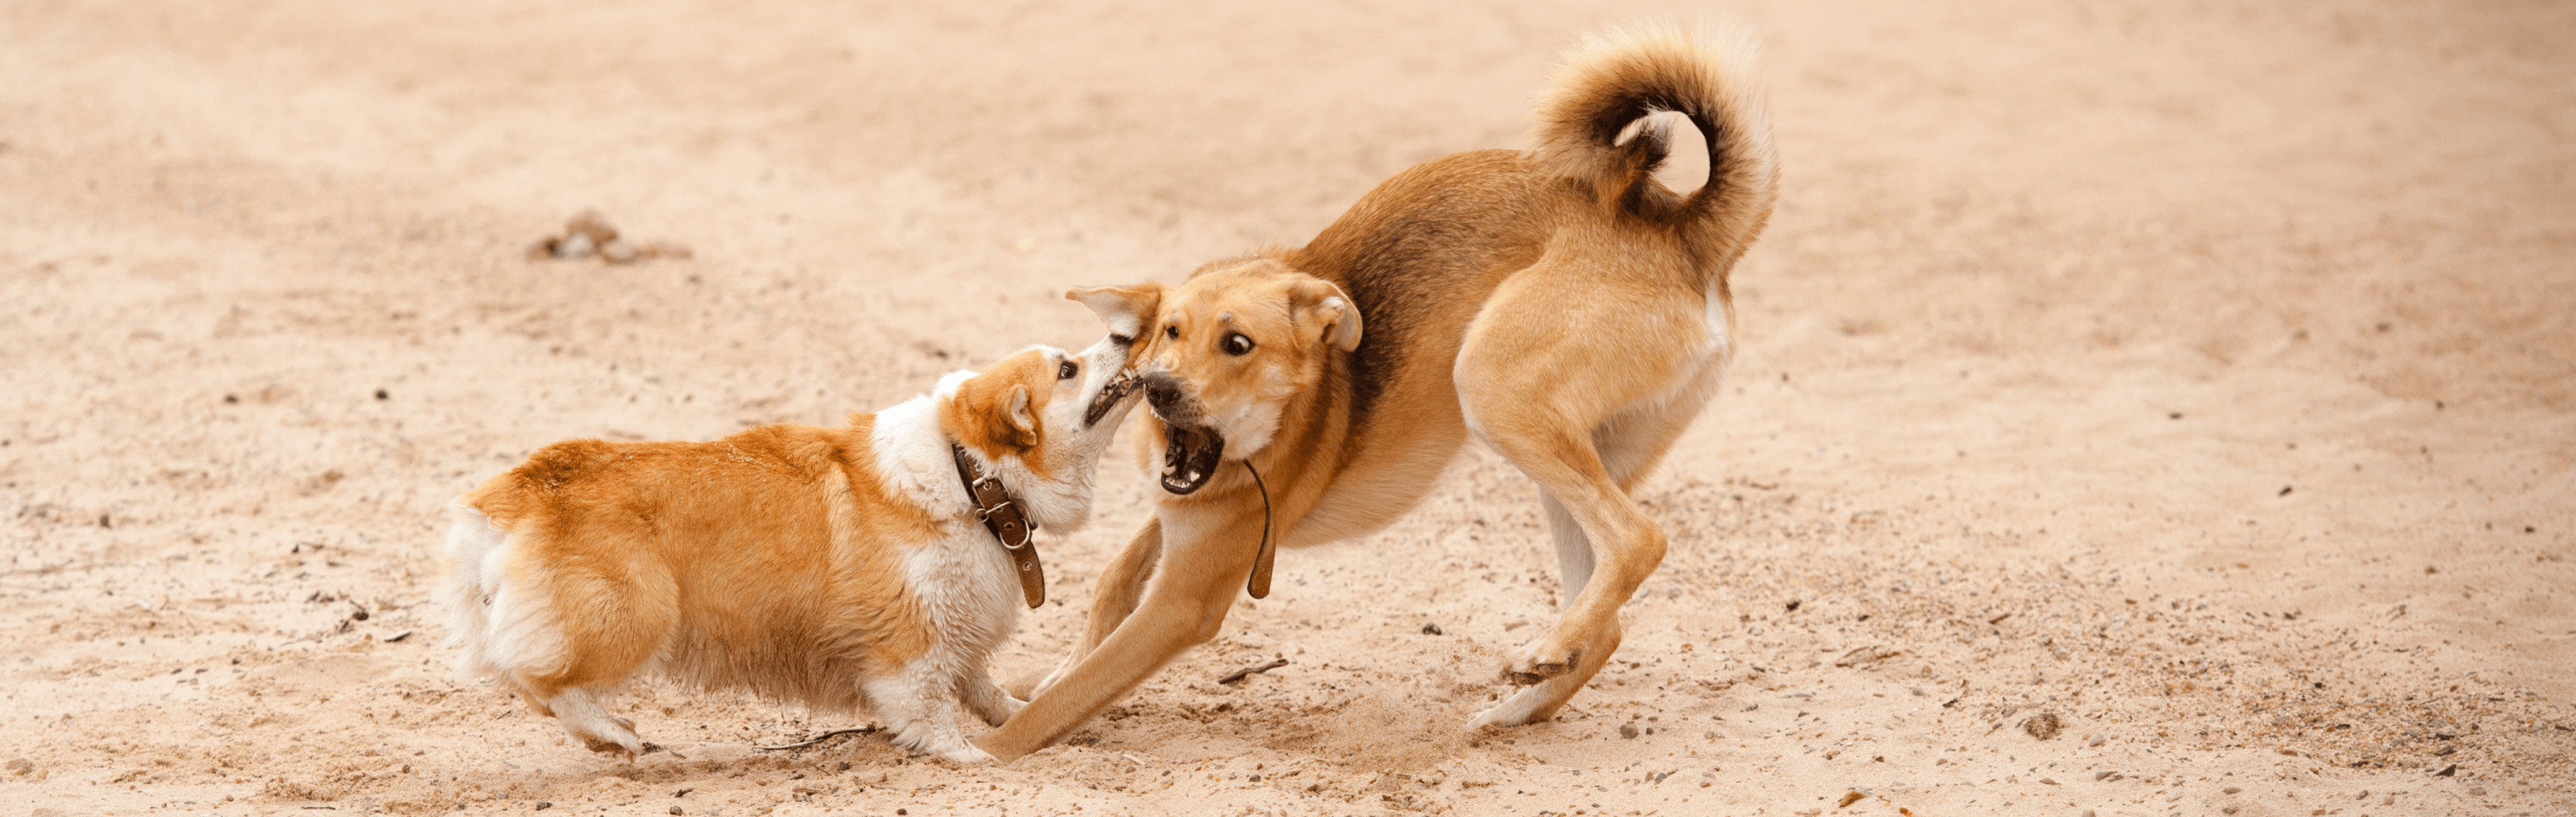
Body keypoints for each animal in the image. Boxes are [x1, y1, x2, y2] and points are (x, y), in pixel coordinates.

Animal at [442, 296, 1149, 762]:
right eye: (1066, 369)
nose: (1126, 335)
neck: (970, 475)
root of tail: (514, 491)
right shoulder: (909, 641)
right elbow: (931, 708)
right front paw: (972, 756)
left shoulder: (957, 624)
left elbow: (980, 685)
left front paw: (1024, 718)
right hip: (637, 616)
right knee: (539, 681)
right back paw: (613, 734)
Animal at [973, 27, 1782, 757]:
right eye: (1170, 331)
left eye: (1238, 345)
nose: (1161, 388)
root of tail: (1683, 232)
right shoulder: (1178, 519)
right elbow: (1111, 584)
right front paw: (1048, 674)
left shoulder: (1187, 600)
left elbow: (1046, 714)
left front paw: (977, 746)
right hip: (1575, 456)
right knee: (1609, 617)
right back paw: (1523, 701)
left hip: (1491, 389)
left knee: (1640, 539)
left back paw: (1545, 654)